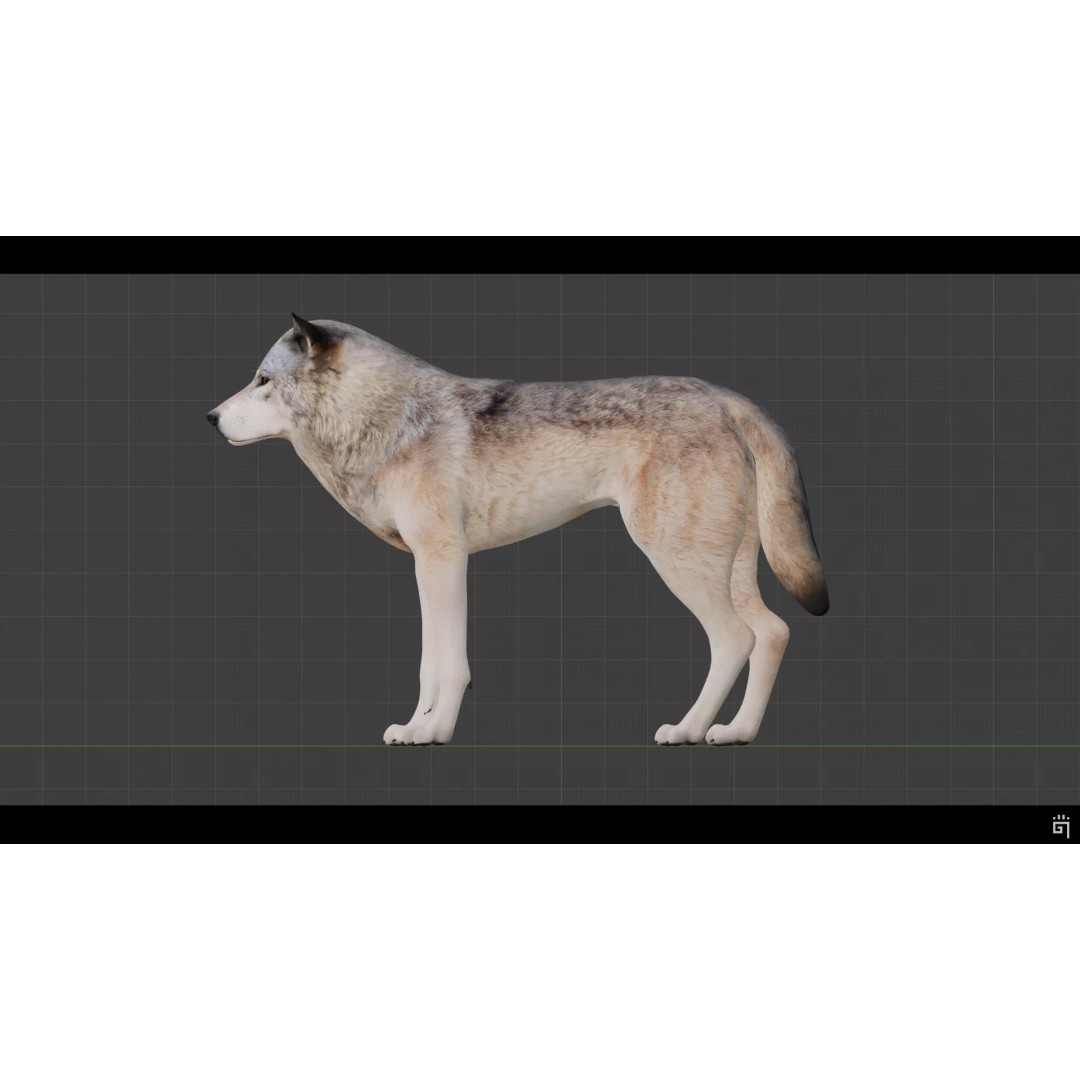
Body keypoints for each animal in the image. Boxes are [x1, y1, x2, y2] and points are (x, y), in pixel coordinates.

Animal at [208, 315, 828, 747]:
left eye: (263, 380)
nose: (210, 417)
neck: (387, 419)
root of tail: (726, 397)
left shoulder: (443, 559)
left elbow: (447, 665)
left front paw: (432, 733)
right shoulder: (427, 564)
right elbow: (429, 662)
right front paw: (416, 727)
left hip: (677, 562)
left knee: (736, 639)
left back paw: (687, 729)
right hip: (725, 567)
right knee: (774, 632)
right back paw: (737, 732)